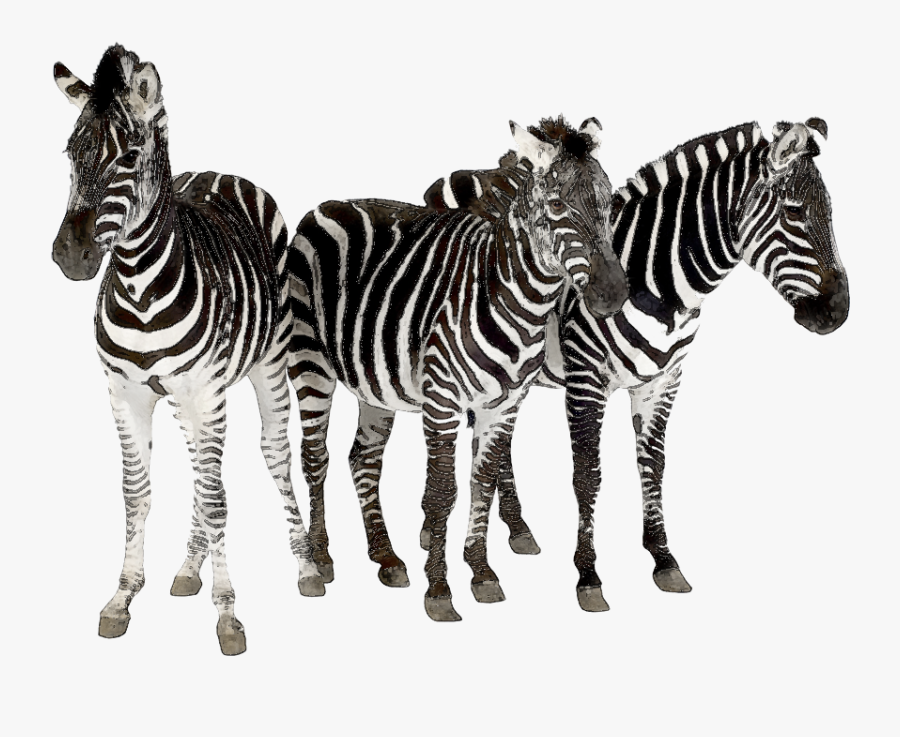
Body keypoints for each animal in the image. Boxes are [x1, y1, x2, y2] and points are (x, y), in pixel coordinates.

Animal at [51, 45, 323, 656]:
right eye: (69, 154)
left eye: (130, 156)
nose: (70, 257)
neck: (140, 288)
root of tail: (221, 172)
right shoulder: (126, 393)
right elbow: (137, 493)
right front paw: (122, 597)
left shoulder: (204, 392)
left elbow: (219, 494)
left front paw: (227, 615)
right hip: (189, 397)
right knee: (201, 470)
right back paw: (188, 567)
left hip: (266, 368)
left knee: (272, 455)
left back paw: (305, 568)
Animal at [288, 117, 628, 621]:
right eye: (557, 205)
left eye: (610, 202)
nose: (613, 295)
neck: (511, 298)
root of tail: (329, 203)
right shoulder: (442, 401)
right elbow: (442, 492)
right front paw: (439, 590)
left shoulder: (504, 404)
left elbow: (481, 483)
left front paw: (482, 573)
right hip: (309, 362)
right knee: (315, 457)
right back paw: (322, 557)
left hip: (374, 381)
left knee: (363, 459)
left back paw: (386, 556)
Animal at [419, 118, 849, 611]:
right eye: (795, 213)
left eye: (831, 211)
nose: (839, 312)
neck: (660, 284)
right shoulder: (586, 379)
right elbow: (587, 474)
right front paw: (588, 576)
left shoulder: (662, 381)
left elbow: (654, 466)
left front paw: (664, 560)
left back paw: (518, 529)